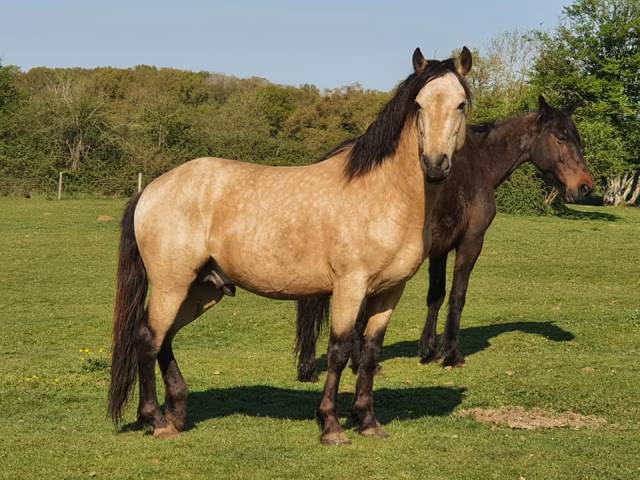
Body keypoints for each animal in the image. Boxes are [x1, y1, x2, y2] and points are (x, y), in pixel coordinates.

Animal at [107, 47, 472, 444]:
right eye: (418, 104)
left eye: (461, 104)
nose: (435, 164)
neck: (382, 194)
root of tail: (152, 189)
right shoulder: (349, 287)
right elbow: (340, 350)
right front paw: (331, 426)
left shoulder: (390, 292)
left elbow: (371, 352)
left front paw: (368, 421)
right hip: (170, 285)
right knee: (148, 339)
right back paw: (156, 420)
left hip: (201, 289)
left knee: (165, 339)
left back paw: (176, 413)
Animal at [296, 96, 596, 382]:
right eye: (560, 137)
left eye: (576, 138)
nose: (585, 186)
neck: (479, 164)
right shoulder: (470, 242)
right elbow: (457, 295)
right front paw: (451, 354)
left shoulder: (439, 249)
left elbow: (436, 296)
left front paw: (428, 349)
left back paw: (311, 367)